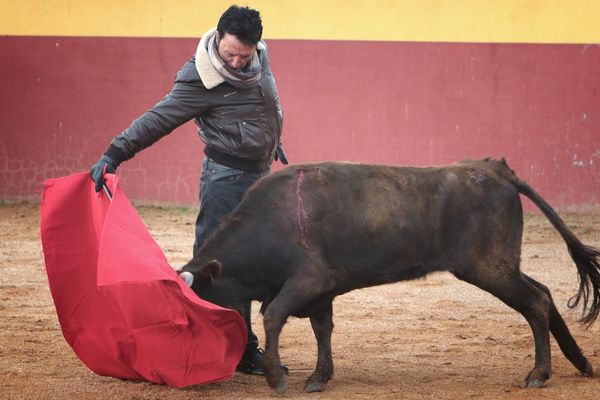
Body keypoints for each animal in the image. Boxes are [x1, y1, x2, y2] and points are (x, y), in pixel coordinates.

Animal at [179, 158, 600, 392]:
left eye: (202, 300)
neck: (269, 222)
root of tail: (493, 169)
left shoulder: (307, 281)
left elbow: (273, 315)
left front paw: (276, 377)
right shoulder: (322, 291)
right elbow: (322, 328)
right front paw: (319, 377)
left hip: (489, 268)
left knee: (535, 301)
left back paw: (539, 373)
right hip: (501, 266)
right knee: (543, 293)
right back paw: (580, 363)